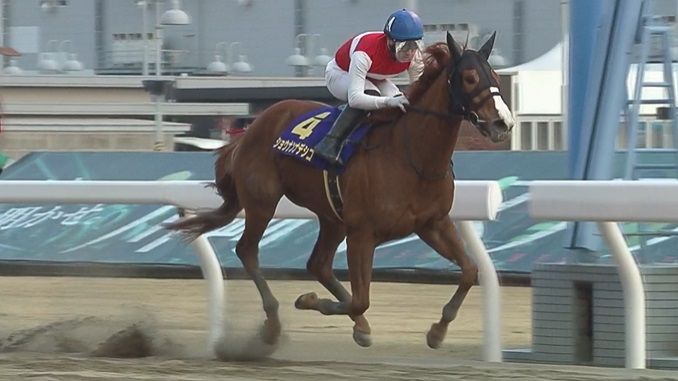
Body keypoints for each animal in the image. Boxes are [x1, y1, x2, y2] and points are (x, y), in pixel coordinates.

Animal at [169, 32, 516, 348]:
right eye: (469, 77)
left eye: (494, 75)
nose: (503, 122)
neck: (410, 155)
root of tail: (252, 126)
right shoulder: (363, 233)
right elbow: (361, 299)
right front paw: (310, 301)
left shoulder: (433, 224)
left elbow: (470, 270)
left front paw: (437, 331)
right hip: (262, 202)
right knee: (247, 251)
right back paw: (273, 324)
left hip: (331, 216)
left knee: (318, 264)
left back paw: (354, 323)